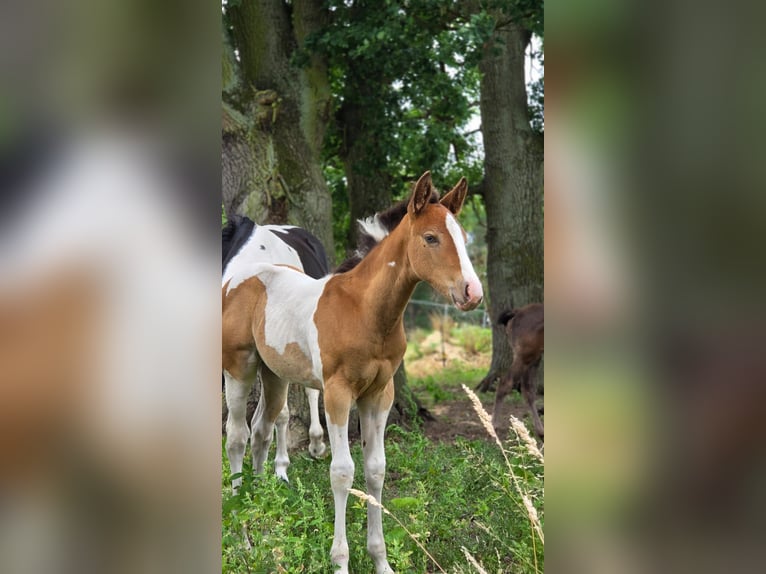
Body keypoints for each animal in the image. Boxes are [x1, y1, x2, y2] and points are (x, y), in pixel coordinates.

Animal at [492, 303, 544, 441]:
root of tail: (517, 312)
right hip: (525, 357)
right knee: (506, 383)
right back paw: (494, 427)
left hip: (533, 359)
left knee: (527, 390)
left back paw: (541, 434)